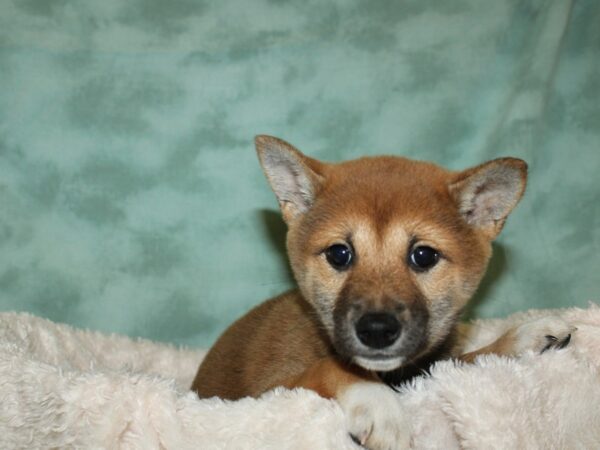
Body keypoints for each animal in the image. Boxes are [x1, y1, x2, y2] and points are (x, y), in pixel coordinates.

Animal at [191, 135, 572, 448]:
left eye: (424, 255)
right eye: (339, 254)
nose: (376, 330)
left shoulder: (425, 372)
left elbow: (464, 359)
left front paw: (522, 337)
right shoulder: (267, 393)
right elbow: (330, 367)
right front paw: (377, 404)